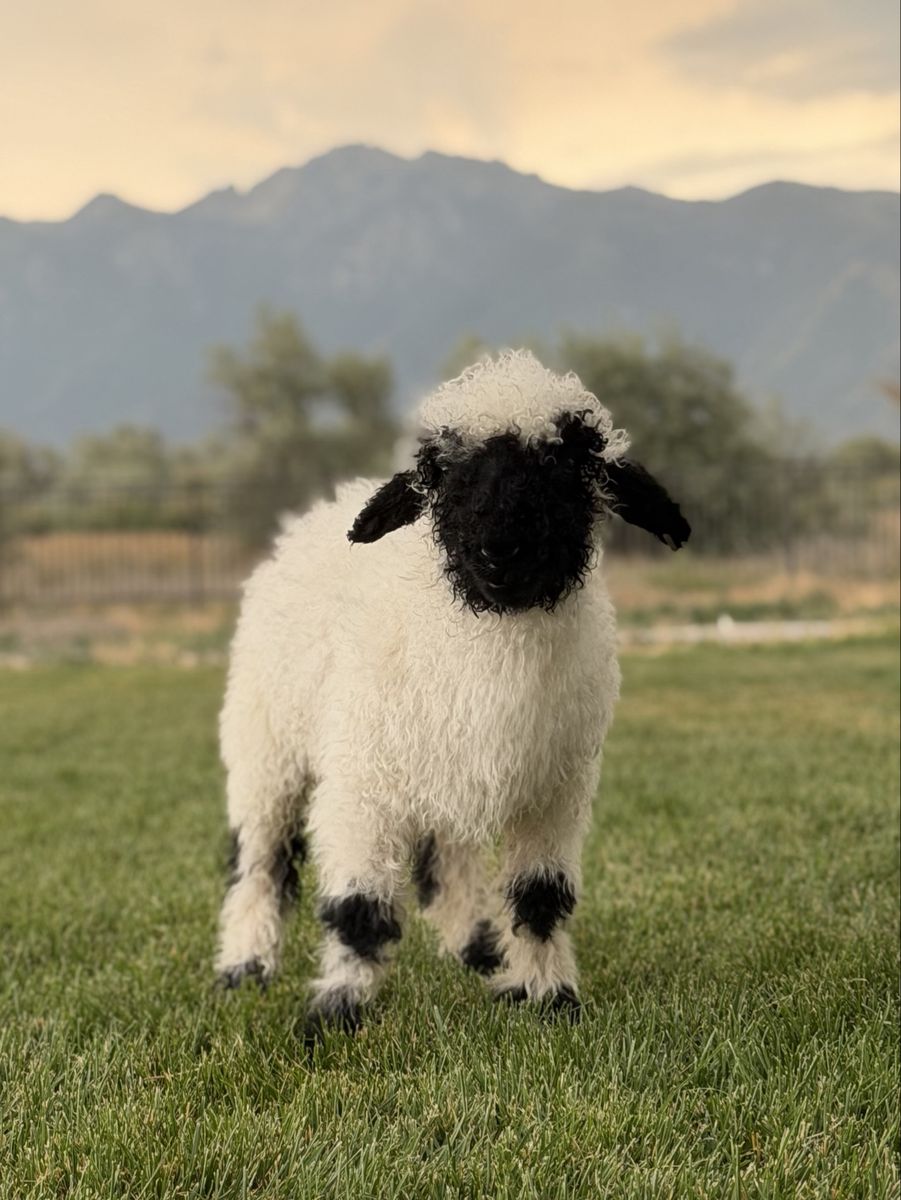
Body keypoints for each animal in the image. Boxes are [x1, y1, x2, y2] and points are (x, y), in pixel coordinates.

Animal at [215, 349, 690, 1037]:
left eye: (566, 466)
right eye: (441, 472)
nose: (498, 551)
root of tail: (319, 509)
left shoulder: (554, 790)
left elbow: (539, 898)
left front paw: (548, 995)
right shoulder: (362, 783)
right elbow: (358, 908)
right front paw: (338, 1009)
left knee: (448, 857)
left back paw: (478, 949)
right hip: (266, 743)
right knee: (258, 856)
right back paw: (245, 965)